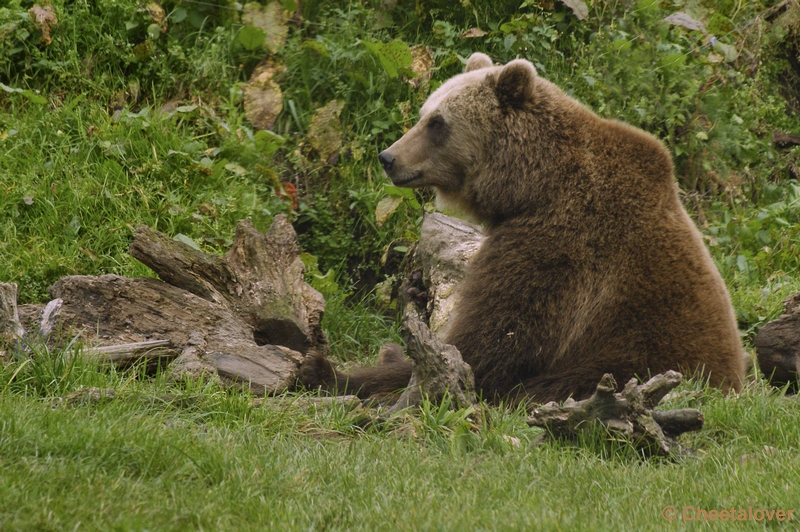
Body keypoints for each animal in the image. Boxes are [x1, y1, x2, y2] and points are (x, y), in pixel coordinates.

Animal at [298, 53, 744, 404]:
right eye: (425, 113)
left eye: (438, 123)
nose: (389, 157)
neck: (532, 184)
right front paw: (413, 293)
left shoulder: (559, 244)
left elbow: (488, 345)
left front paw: (326, 371)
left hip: (625, 361)